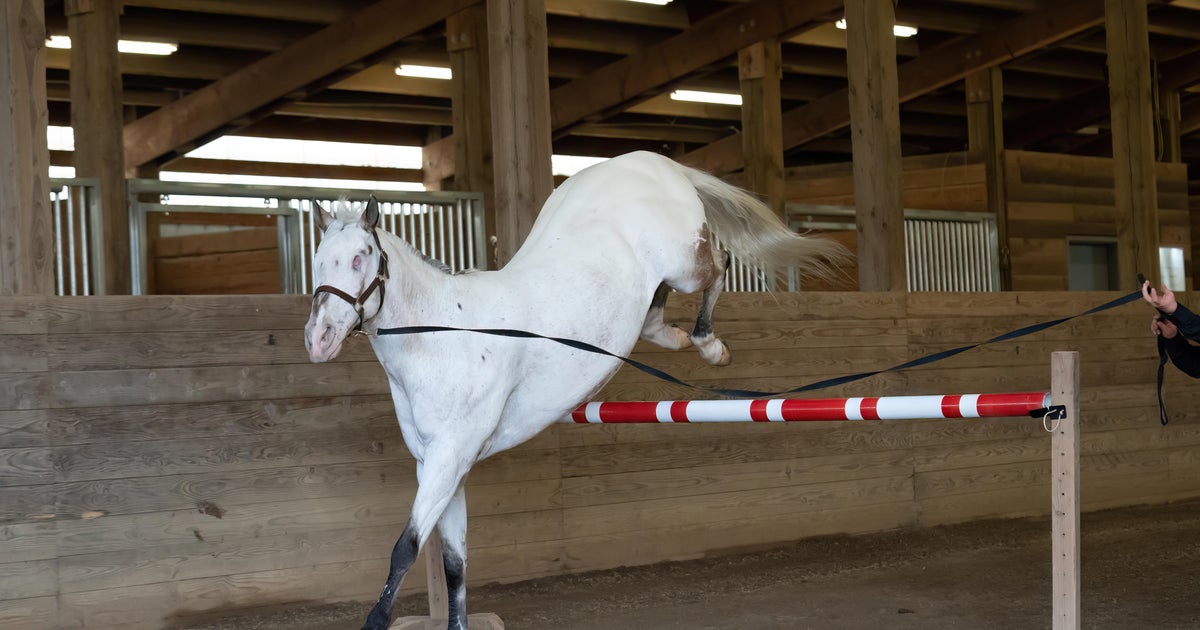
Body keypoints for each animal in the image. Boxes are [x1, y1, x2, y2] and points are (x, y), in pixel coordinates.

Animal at [302, 151, 844, 628]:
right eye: (318, 261)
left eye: (360, 257)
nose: (318, 339)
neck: (445, 335)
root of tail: (651, 161)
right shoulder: (439, 465)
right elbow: (454, 565)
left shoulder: (449, 458)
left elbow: (406, 548)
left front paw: (375, 620)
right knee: (654, 316)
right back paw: (679, 338)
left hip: (685, 264)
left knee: (721, 263)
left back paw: (711, 346)